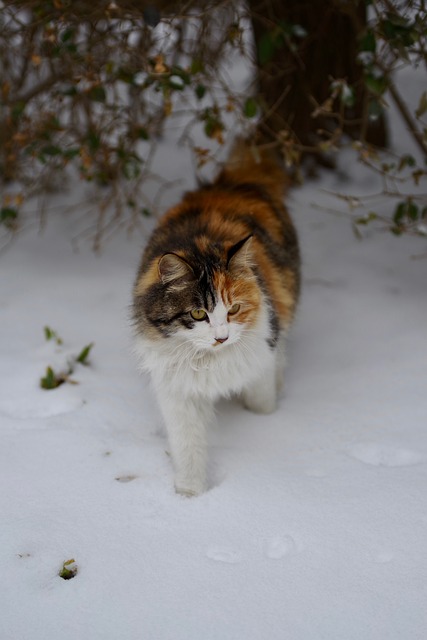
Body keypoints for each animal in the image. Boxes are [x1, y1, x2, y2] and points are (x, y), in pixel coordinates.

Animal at [134, 142, 300, 498]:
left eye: (234, 309)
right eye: (199, 313)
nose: (221, 337)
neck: (211, 362)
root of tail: (231, 183)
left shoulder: (260, 360)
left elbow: (262, 403)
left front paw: (269, 422)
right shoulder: (178, 392)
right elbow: (188, 448)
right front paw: (190, 495)